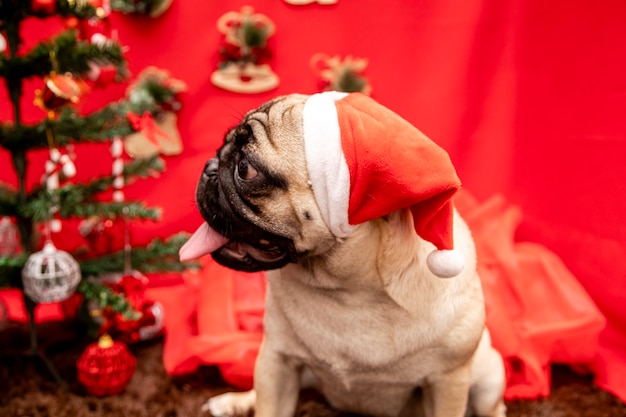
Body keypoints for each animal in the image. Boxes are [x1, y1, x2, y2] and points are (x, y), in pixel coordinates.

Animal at [178, 92, 504, 416]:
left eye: (245, 168)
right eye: (222, 145)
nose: (209, 167)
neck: (347, 292)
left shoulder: (447, 382)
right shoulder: (277, 360)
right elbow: (268, 407)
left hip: (489, 376)